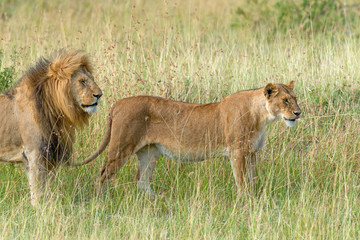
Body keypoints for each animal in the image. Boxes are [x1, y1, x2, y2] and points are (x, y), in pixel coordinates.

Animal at [0, 49, 102, 206]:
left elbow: (47, 188)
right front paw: (37, 209)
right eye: (82, 81)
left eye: (92, 79)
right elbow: (37, 191)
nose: (99, 95)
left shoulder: (50, 156)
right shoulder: (34, 154)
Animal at [78, 80, 300, 195]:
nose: (298, 113)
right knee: (102, 176)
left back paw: (156, 200)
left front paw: (253, 198)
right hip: (121, 148)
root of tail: (118, 103)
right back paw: (100, 200)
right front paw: (245, 202)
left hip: (149, 152)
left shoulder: (252, 153)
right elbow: (242, 181)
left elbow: (252, 180)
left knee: (141, 181)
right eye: (285, 100)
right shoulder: (238, 152)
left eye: (295, 99)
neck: (262, 117)